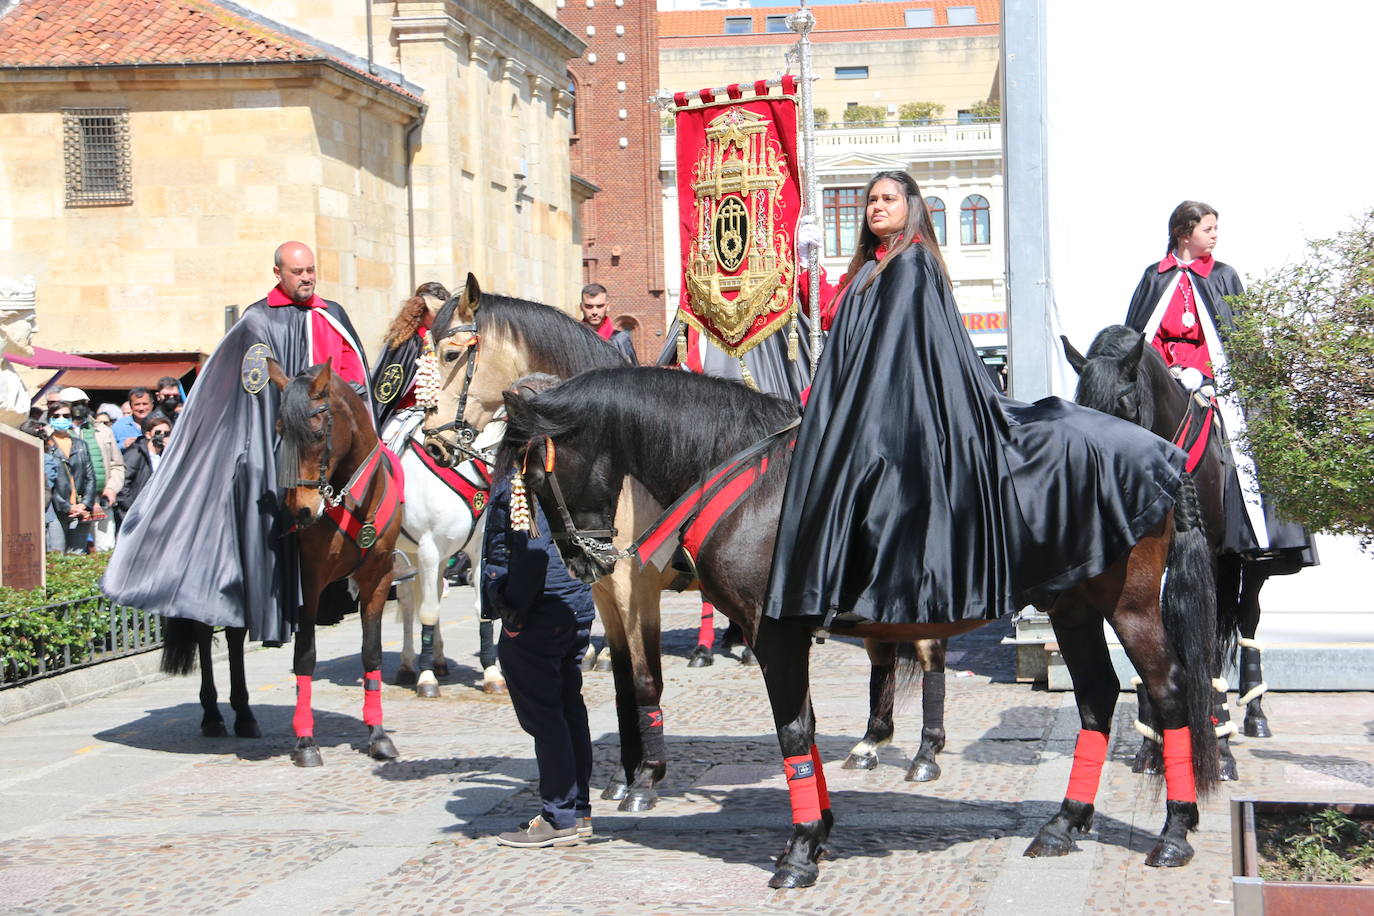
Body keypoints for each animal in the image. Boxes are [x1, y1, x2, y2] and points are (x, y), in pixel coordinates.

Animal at [384, 409, 508, 694]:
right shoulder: (429, 548)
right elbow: (427, 610)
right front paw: (426, 678)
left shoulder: (479, 549)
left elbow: (482, 609)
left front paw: (492, 674)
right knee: (409, 603)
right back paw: (408, 666)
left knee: (434, 593)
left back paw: (438, 660)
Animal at [497, 365, 1225, 889]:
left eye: (531, 469)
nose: (577, 561)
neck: (750, 479)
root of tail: (1164, 454)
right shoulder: (785, 636)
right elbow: (807, 730)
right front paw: (817, 830)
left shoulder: (773, 634)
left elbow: (793, 732)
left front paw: (797, 853)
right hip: (1072, 605)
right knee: (1097, 697)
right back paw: (1064, 824)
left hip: (1130, 605)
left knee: (1167, 695)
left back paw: (1174, 833)